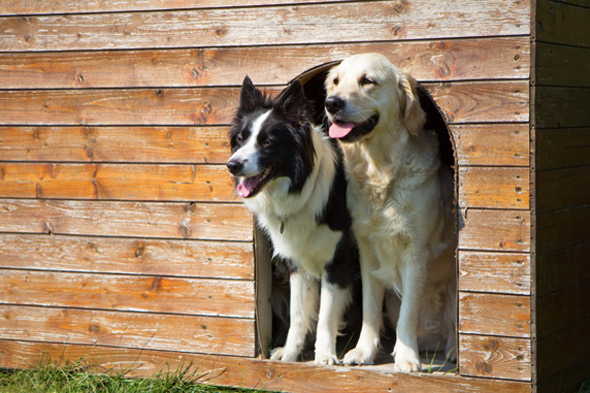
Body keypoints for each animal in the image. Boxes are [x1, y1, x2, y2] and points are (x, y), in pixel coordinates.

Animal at [228, 76, 358, 364]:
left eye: (267, 142)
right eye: (240, 139)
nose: (232, 165)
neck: (302, 187)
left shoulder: (338, 262)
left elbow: (325, 317)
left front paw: (324, 357)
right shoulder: (298, 264)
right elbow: (298, 315)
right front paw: (290, 354)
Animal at [324, 53, 458, 372]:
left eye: (367, 81)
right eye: (335, 81)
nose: (331, 103)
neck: (381, 174)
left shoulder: (416, 253)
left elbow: (409, 311)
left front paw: (407, 356)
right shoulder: (367, 250)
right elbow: (370, 310)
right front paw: (364, 351)